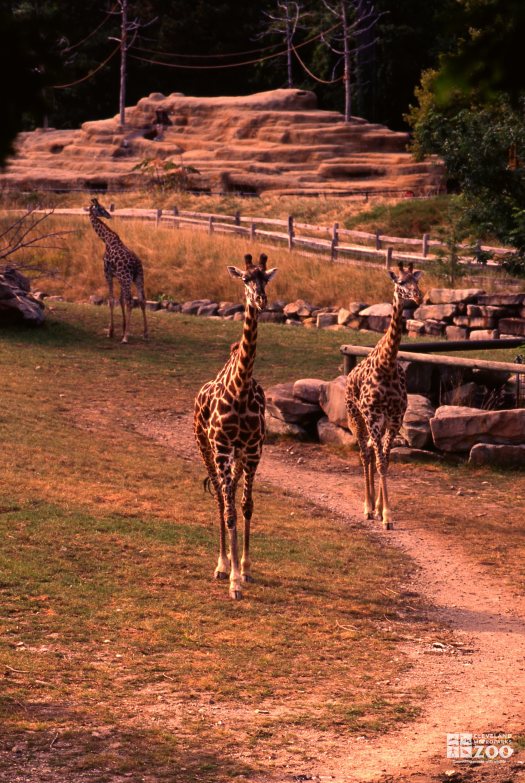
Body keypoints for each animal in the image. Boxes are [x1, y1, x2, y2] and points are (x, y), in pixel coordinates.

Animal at [88, 196, 148, 344]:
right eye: (101, 208)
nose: (108, 215)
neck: (106, 239)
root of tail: (136, 264)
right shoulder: (118, 276)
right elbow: (120, 300)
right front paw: (123, 327)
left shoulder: (107, 273)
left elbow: (111, 300)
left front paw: (111, 331)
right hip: (138, 277)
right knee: (141, 300)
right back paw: (145, 333)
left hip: (126, 277)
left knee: (130, 301)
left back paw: (126, 337)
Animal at [346, 260, 424, 528]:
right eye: (400, 282)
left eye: (417, 280)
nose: (418, 296)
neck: (387, 364)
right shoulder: (372, 416)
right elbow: (380, 462)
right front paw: (385, 515)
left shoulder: (395, 418)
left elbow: (386, 462)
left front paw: (384, 511)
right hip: (357, 418)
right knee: (364, 452)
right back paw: (367, 507)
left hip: (376, 423)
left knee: (370, 450)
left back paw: (373, 507)